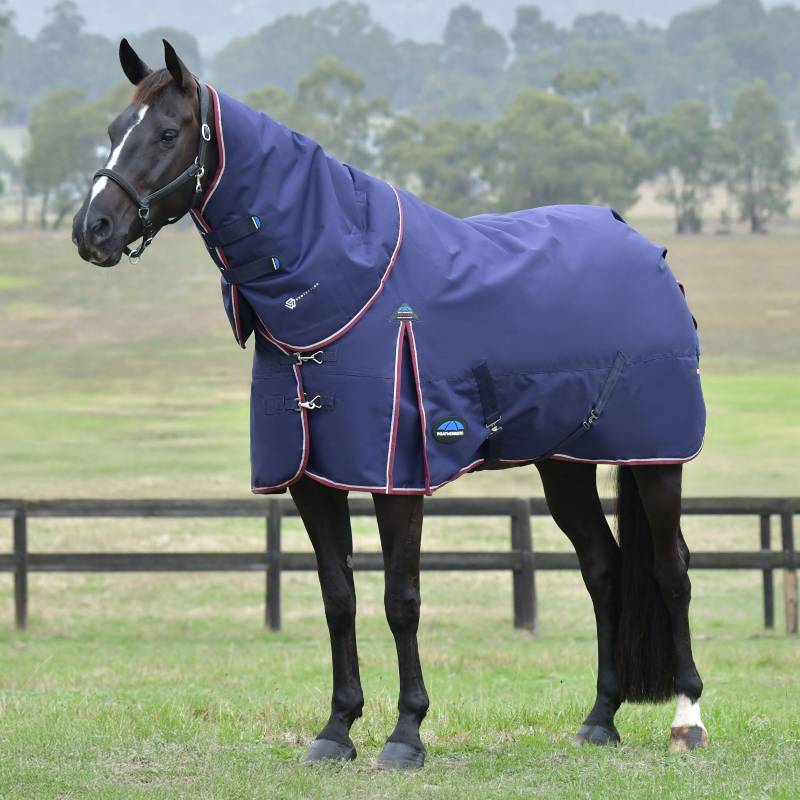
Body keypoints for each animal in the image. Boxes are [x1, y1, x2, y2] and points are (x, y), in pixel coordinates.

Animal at [72, 39, 708, 768]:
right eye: (115, 130)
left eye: (168, 132)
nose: (92, 229)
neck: (344, 286)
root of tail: (648, 251)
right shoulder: (313, 479)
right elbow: (338, 597)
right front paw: (336, 729)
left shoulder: (395, 478)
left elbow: (400, 598)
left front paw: (406, 734)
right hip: (564, 463)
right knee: (602, 568)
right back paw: (600, 718)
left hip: (657, 458)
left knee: (671, 568)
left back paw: (687, 718)